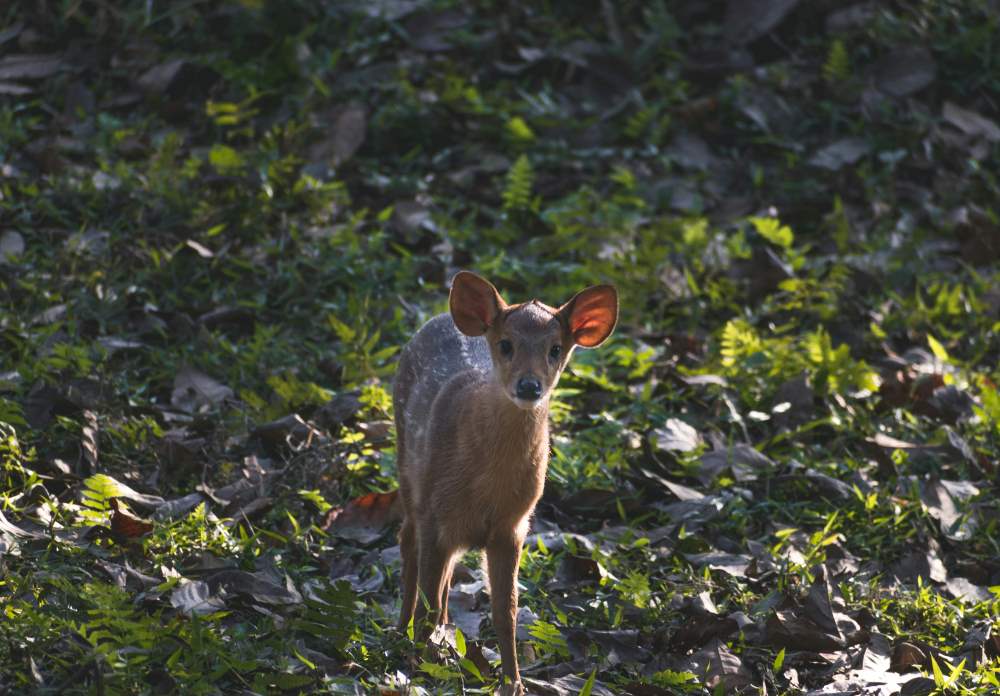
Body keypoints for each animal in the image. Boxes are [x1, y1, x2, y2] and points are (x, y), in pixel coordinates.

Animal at [390, 270, 616, 688]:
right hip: (409, 471)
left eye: (555, 349)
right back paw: (402, 634)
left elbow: (506, 612)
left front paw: (513, 683)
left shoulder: (512, 527)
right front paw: (419, 670)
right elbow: (428, 598)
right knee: (408, 544)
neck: (486, 484)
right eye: (506, 344)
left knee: (445, 578)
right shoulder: (435, 515)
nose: (529, 386)